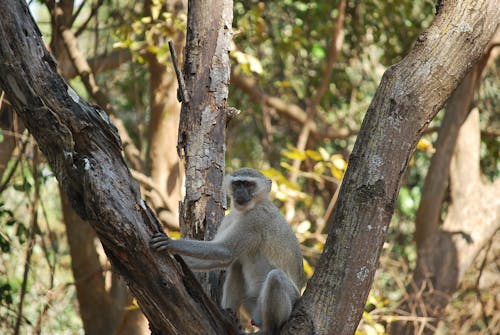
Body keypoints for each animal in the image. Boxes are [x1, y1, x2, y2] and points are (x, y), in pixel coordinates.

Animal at [149, 168, 304, 334]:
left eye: (248, 184)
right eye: (238, 184)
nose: (240, 192)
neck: (249, 208)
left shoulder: (256, 218)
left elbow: (225, 250)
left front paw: (171, 243)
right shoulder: (230, 218)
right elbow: (224, 259)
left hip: (289, 302)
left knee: (276, 277)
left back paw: (269, 329)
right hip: (253, 305)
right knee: (236, 266)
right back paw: (230, 316)